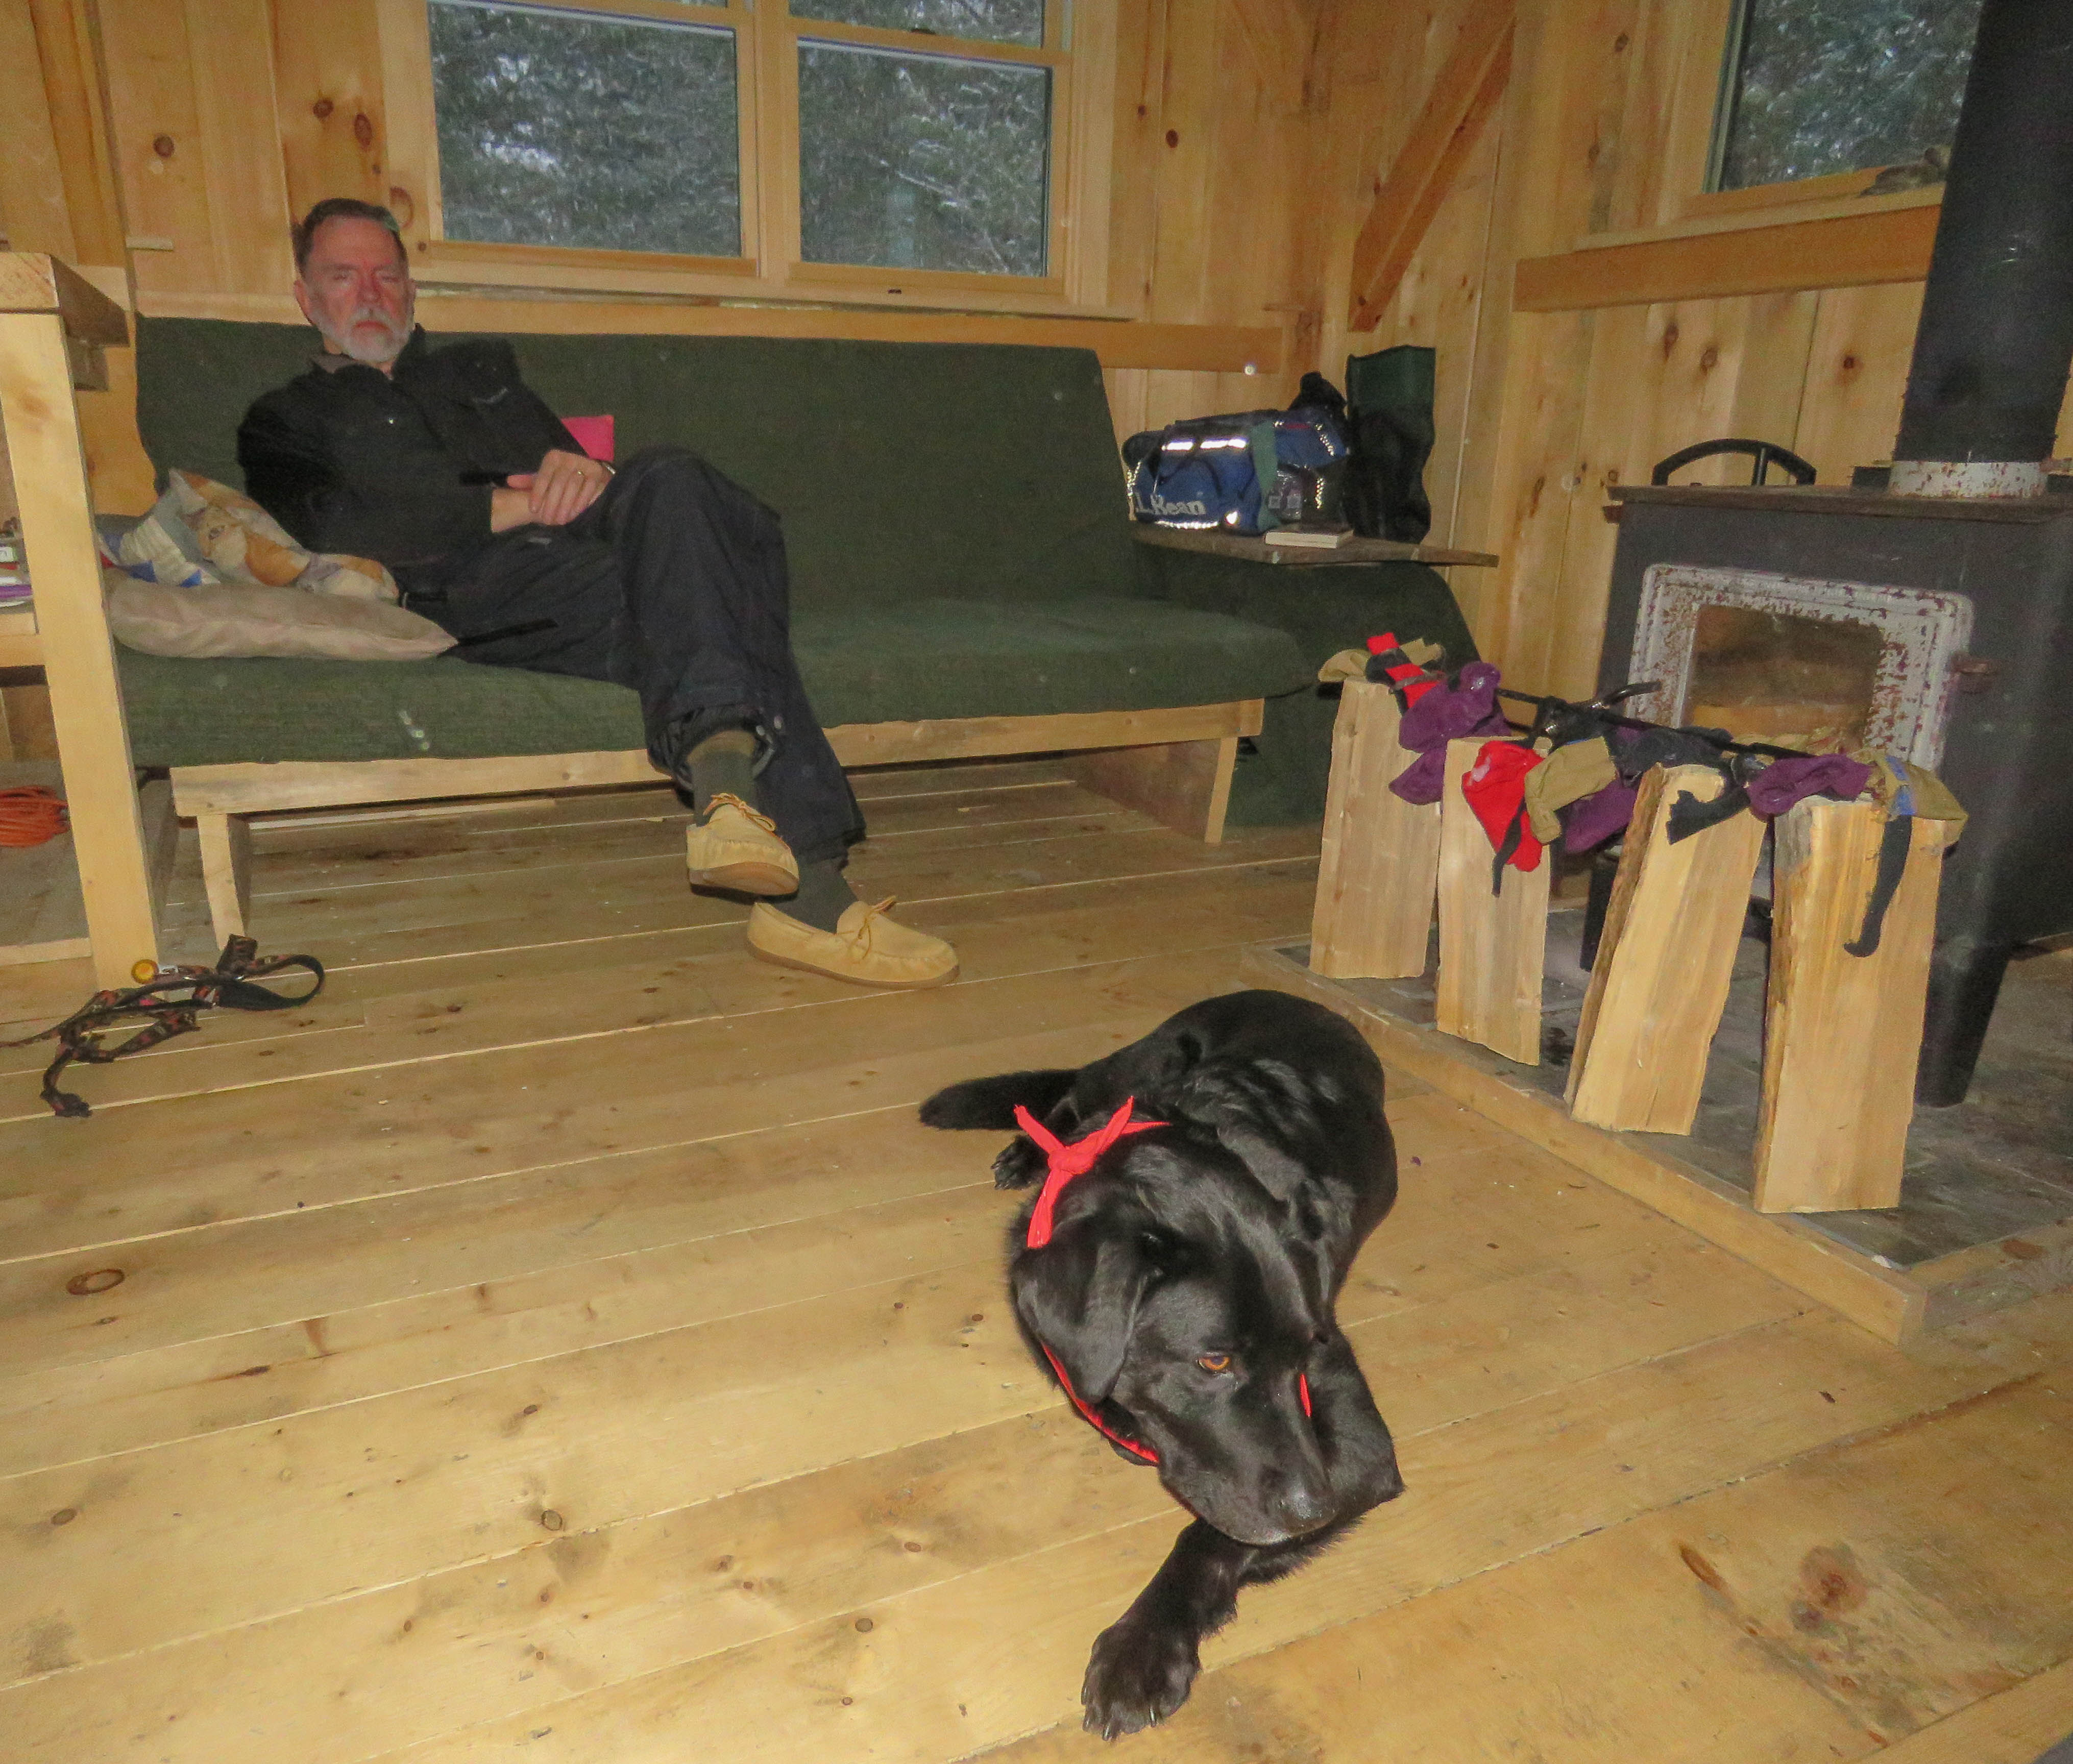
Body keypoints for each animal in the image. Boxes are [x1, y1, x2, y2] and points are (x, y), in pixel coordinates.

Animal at [919, 989, 1404, 1738]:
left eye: (1306, 1349)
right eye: (1213, 1361)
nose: (1314, 1510)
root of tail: (1295, 998)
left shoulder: (1360, 1447)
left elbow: (1208, 1539)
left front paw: (1142, 1651)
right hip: (1140, 1058)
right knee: (1070, 1092)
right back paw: (1030, 1148)